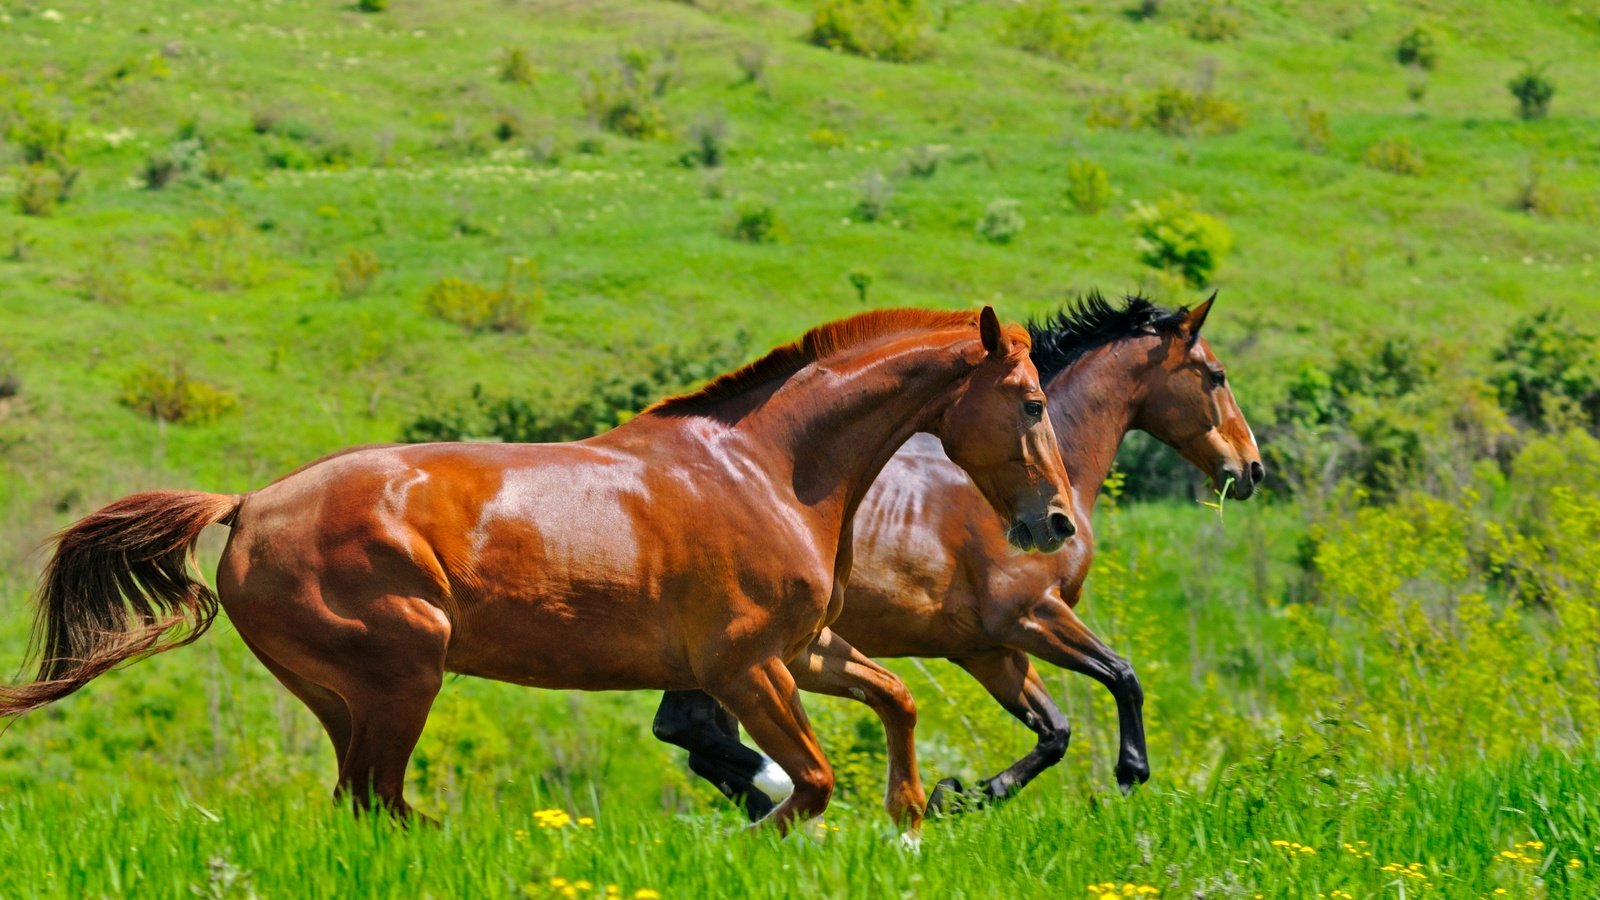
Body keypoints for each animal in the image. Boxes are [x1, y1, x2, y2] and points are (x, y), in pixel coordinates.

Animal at [3, 305, 1075, 832]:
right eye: (1029, 401)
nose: (1056, 521)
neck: (767, 470)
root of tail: (249, 504)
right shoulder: (744, 667)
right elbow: (806, 783)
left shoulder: (804, 652)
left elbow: (897, 700)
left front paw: (912, 821)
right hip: (403, 675)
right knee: (380, 805)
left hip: (345, 697)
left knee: (363, 806)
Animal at [649, 293, 1260, 813]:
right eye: (1217, 375)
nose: (1251, 469)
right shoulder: (1030, 616)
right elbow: (1122, 676)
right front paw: (1129, 772)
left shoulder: (986, 650)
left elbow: (1055, 731)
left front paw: (959, 796)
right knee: (689, 730)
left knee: (691, 736)